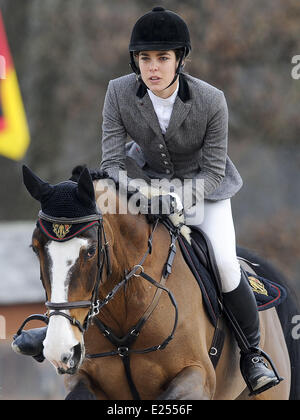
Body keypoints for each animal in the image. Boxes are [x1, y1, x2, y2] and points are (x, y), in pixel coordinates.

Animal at [17, 165, 300, 400]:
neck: (126, 309)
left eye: (91, 251)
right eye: (35, 248)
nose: (60, 350)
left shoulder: (197, 375)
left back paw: (257, 369)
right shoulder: (82, 377)